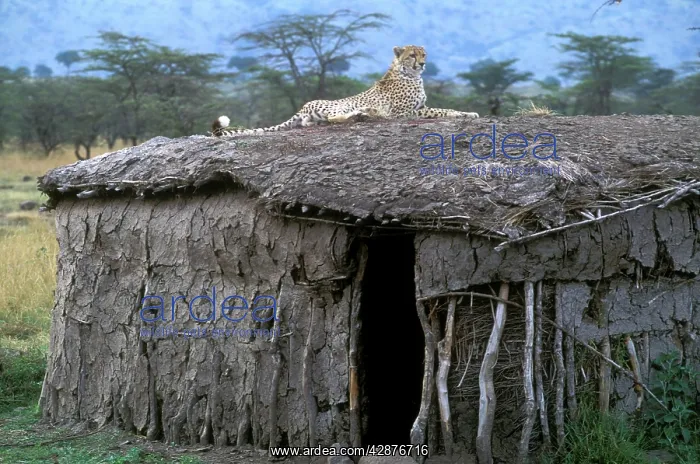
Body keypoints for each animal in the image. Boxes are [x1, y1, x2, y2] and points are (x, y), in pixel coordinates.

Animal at [211, 45, 479, 137]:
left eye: (424, 54)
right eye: (412, 55)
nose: (423, 64)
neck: (410, 74)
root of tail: (304, 105)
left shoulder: (417, 108)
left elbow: (442, 108)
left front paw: (468, 113)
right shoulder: (404, 113)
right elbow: (442, 110)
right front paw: (465, 113)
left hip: (316, 116)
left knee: (314, 123)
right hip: (341, 103)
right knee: (334, 117)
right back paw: (364, 114)